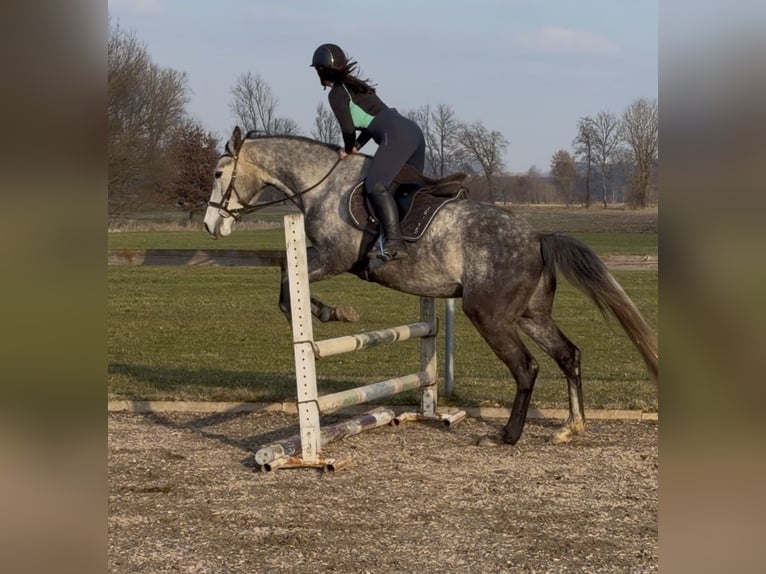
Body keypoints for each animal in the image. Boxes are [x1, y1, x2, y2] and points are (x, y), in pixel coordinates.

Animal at [203, 126, 658, 445]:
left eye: (219, 173)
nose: (211, 225)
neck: (322, 184)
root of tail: (537, 238)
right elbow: (286, 277)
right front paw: (330, 312)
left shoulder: (335, 258)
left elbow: (286, 283)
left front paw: (331, 313)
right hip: (531, 314)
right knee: (568, 355)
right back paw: (571, 427)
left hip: (489, 315)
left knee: (526, 367)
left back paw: (507, 436)